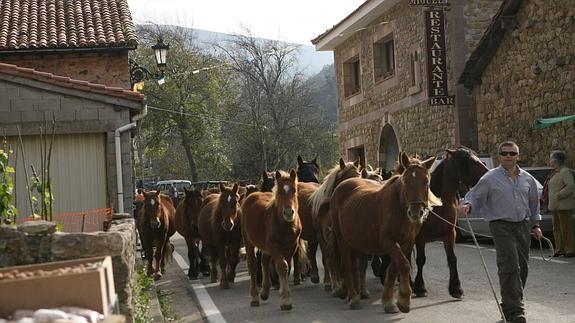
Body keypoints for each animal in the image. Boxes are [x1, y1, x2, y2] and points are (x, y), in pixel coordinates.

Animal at [241, 171, 308, 310]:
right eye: (279, 192)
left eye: (294, 190)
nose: (288, 212)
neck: (284, 224)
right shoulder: (274, 246)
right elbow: (282, 266)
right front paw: (285, 300)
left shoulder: (291, 246)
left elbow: (287, 266)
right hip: (248, 241)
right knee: (252, 264)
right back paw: (254, 297)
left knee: (265, 260)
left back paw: (265, 292)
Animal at [330, 154, 438, 314]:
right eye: (405, 181)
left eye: (426, 182)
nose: (416, 213)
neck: (399, 207)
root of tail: (342, 185)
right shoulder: (388, 241)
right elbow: (404, 264)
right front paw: (404, 300)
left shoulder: (406, 243)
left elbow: (393, 269)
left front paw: (389, 301)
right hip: (342, 239)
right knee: (346, 265)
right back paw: (354, 297)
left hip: (356, 240)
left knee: (357, 266)